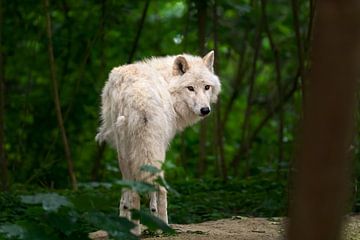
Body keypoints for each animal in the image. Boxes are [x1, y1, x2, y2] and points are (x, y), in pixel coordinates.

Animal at [95, 51, 219, 234]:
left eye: (207, 87)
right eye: (190, 88)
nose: (205, 110)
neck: (167, 83)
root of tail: (139, 95)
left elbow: (126, 196)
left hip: (126, 152)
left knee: (133, 190)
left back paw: (133, 230)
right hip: (153, 150)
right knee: (160, 188)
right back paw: (164, 227)